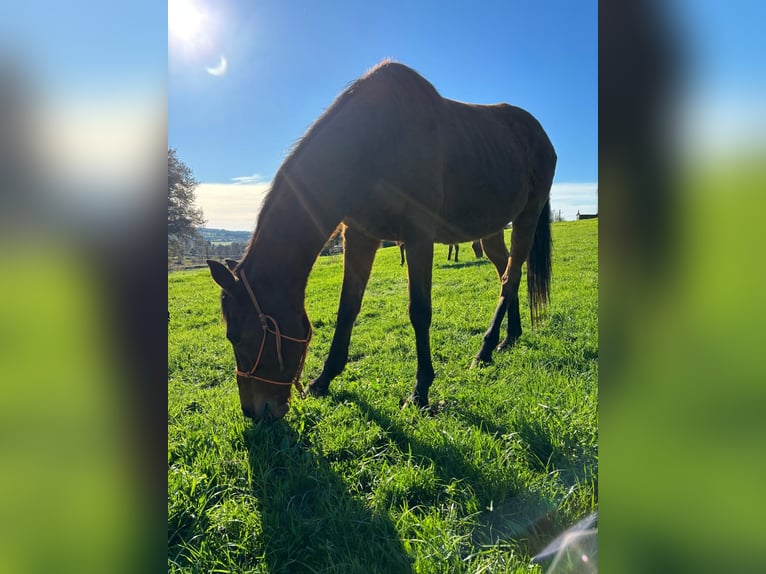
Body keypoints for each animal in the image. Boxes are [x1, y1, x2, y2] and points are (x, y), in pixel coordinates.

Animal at [208, 60, 560, 424]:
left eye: (236, 336)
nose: (254, 411)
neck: (372, 141)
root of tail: (539, 135)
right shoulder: (360, 235)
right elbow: (347, 308)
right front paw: (324, 379)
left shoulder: (419, 236)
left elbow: (419, 310)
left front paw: (420, 391)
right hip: (491, 230)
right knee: (507, 272)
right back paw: (509, 337)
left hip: (527, 217)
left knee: (510, 277)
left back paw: (485, 349)